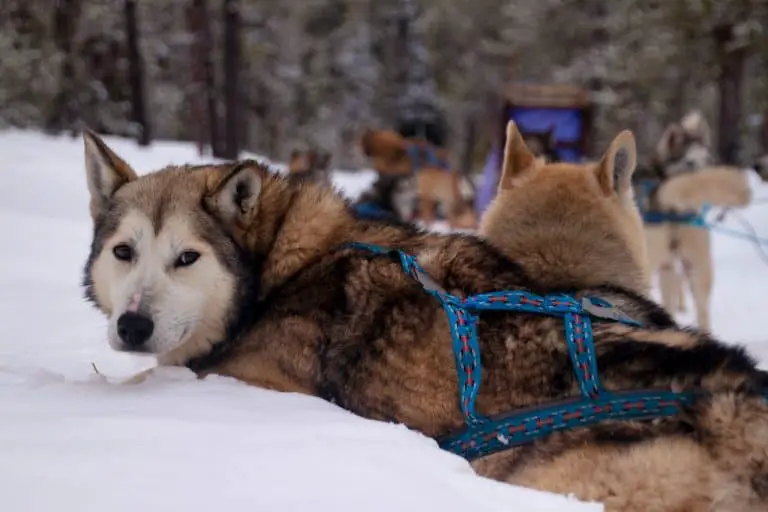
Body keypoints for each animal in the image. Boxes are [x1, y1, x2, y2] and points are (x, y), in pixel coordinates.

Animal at [82, 125, 768, 512]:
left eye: (187, 258)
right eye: (124, 252)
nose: (133, 328)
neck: (284, 266)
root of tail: (731, 407)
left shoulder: (259, 381)